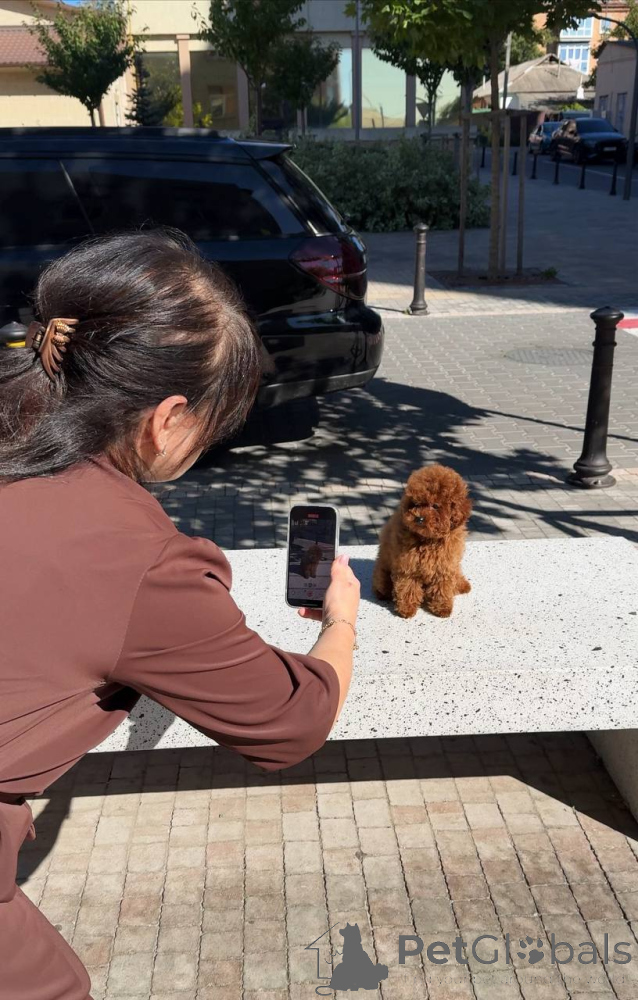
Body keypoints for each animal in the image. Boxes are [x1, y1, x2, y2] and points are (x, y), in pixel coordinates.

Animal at [373, 465, 472, 619]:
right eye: (415, 504)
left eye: (435, 506)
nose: (418, 518)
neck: (429, 540)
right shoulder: (408, 565)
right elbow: (408, 587)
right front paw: (407, 609)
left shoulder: (445, 565)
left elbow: (442, 587)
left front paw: (442, 607)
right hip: (382, 574)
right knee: (382, 586)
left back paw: (462, 584)